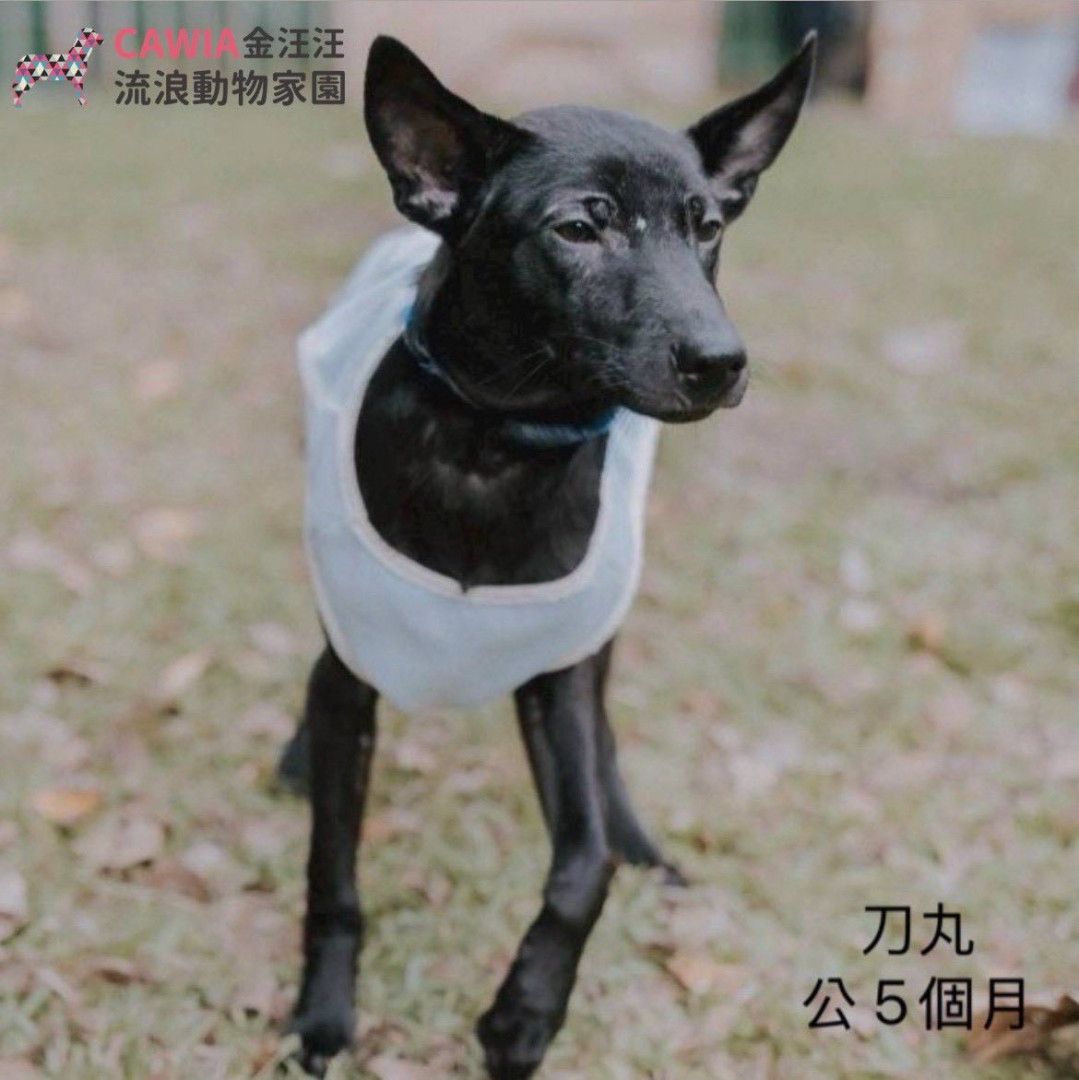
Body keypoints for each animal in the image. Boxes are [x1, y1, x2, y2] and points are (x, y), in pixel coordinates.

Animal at [282, 33, 815, 1078]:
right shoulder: (349, 671)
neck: (496, 441)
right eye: (578, 228)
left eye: (706, 227)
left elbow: (583, 860)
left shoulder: (558, 675)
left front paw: (523, 1016)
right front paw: (322, 1014)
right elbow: (334, 868)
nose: (721, 362)